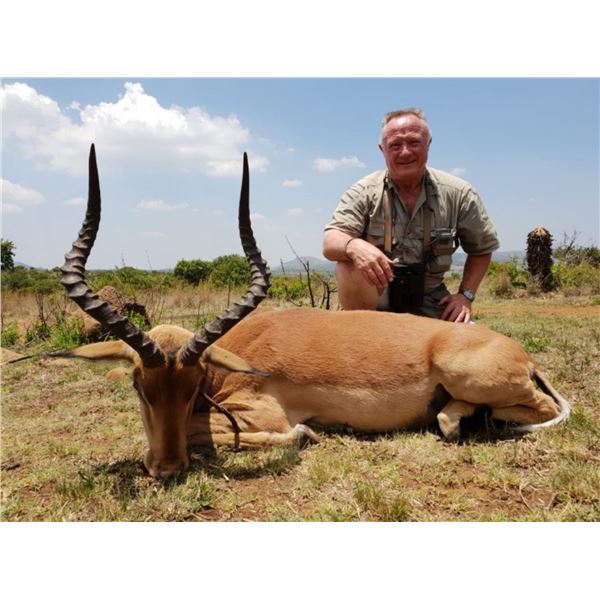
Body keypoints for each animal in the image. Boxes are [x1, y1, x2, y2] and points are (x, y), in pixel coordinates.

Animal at [54, 145, 570, 478]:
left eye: (192, 384)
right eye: (140, 385)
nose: (166, 468)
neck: (235, 354)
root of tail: (521, 353)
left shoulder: (258, 414)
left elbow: (227, 430)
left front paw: (307, 432)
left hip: (472, 376)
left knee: (536, 409)